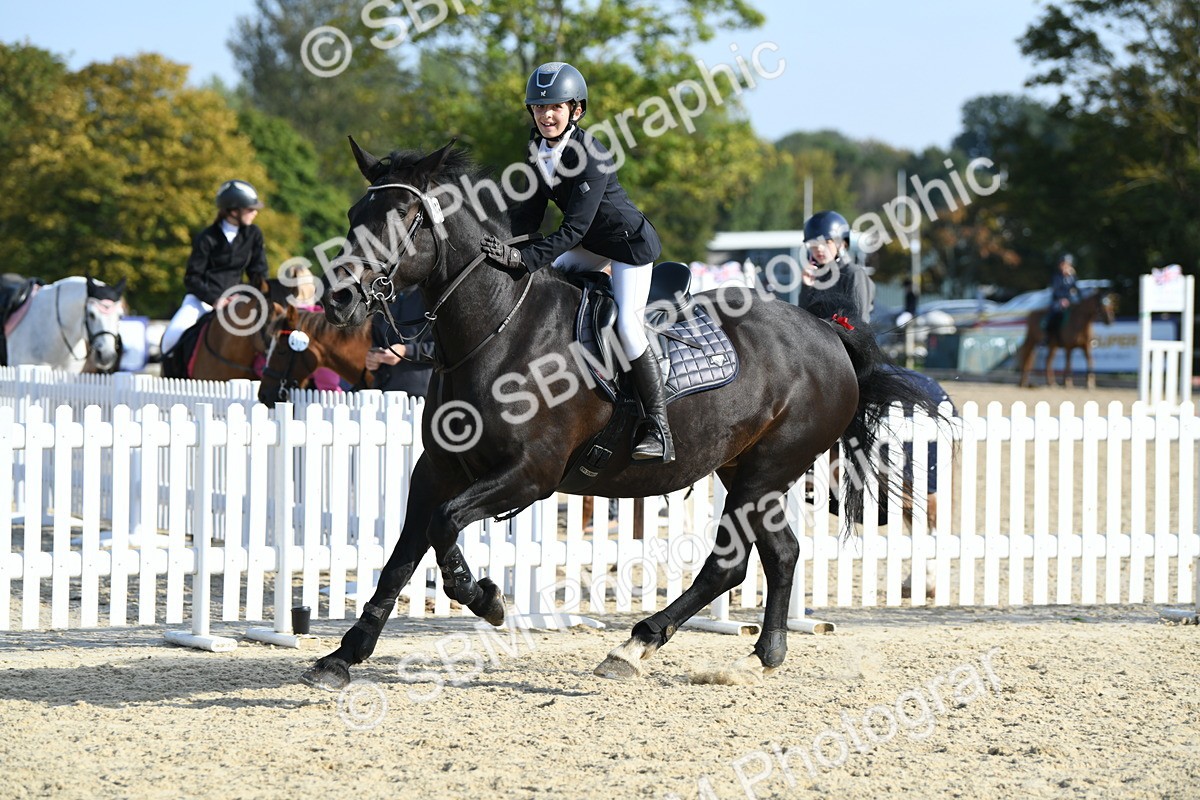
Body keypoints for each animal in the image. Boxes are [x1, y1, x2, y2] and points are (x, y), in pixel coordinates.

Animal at [299, 139, 942, 691]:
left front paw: (484, 597)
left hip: (765, 471)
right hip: (746, 471)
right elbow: (403, 555)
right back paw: (758, 654)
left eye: (404, 214)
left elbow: (444, 527)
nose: (339, 297)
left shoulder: (531, 475)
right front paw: (343, 656)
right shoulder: (436, 470)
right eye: (356, 212)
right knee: (778, 554)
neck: (496, 330)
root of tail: (830, 335)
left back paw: (638, 645)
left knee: (730, 564)